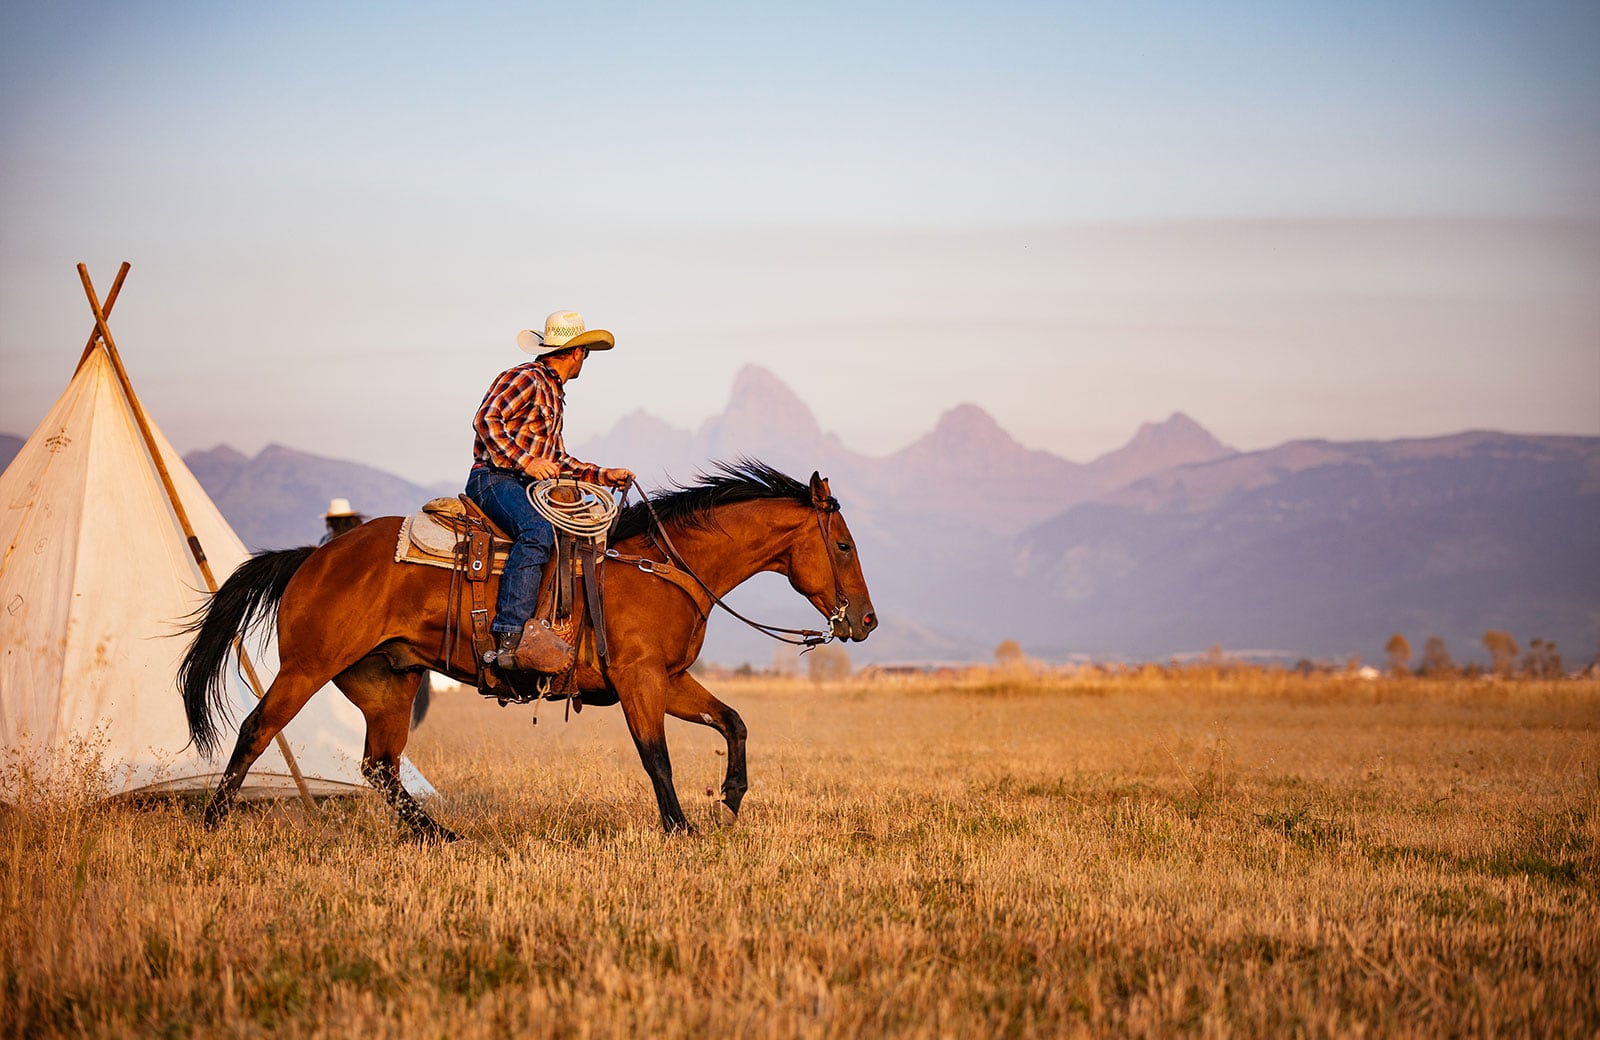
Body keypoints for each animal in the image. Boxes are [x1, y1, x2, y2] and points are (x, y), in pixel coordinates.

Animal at [181, 460, 883, 832]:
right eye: (844, 544)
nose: (867, 621)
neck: (661, 566)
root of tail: (314, 556)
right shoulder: (640, 679)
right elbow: (656, 756)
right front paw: (679, 828)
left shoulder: (671, 678)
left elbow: (732, 720)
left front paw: (732, 798)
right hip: (306, 667)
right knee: (257, 729)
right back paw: (212, 821)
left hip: (387, 682)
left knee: (380, 766)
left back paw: (439, 837)